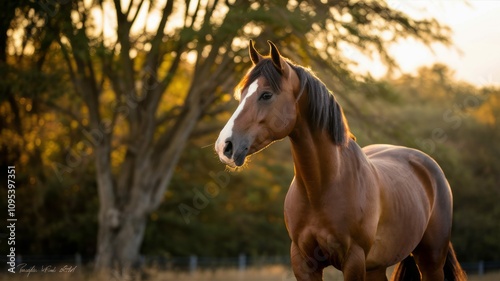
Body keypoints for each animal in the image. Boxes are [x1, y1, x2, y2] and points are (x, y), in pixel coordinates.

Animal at [215, 40, 468, 280]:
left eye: (266, 95)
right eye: (241, 94)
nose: (224, 146)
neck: (321, 188)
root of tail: (427, 165)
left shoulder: (353, 261)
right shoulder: (303, 262)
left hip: (431, 262)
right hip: (376, 267)